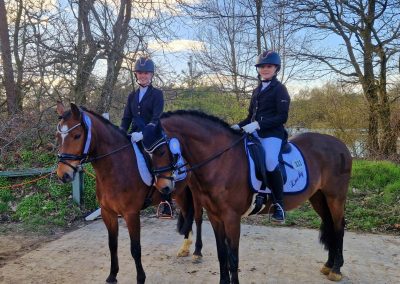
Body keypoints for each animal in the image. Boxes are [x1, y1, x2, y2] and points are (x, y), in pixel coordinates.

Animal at [54, 103, 203, 284]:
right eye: (58, 136)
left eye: (77, 135)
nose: (63, 175)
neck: (116, 167)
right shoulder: (108, 213)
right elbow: (112, 244)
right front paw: (112, 275)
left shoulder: (131, 214)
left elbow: (135, 248)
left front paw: (140, 278)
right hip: (179, 192)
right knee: (188, 213)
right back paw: (185, 248)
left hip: (198, 191)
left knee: (198, 217)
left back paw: (197, 252)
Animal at [148, 110, 352, 284]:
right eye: (146, 151)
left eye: (161, 150)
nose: (163, 187)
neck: (222, 161)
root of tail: (340, 145)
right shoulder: (215, 216)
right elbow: (222, 254)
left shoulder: (231, 218)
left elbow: (233, 257)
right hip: (318, 197)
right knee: (330, 224)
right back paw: (328, 265)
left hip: (335, 197)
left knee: (339, 227)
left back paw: (336, 270)